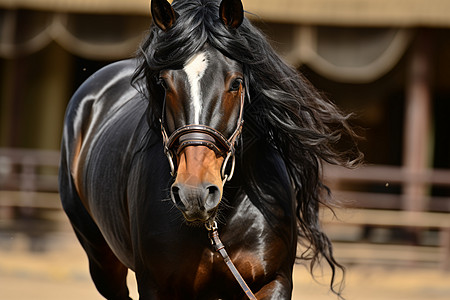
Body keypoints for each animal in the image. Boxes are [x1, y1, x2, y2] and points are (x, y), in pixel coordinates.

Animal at [59, 1, 362, 298]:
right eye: (163, 84)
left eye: (236, 83)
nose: (194, 193)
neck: (218, 226)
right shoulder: (155, 286)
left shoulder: (274, 281)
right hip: (102, 261)